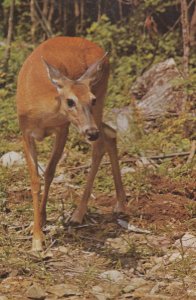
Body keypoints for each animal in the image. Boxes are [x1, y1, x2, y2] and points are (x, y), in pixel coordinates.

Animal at [15, 36, 126, 251]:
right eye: (70, 101)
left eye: (91, 99)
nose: (91, 132)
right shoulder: (25, 133)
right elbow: (35, 180)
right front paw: (37, 230)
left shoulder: (63, 128)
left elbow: (49, 172)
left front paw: (38, 234)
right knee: (110, 133)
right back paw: (120, 204)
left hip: (99, 102)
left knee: (101, 142)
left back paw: (79, 214)